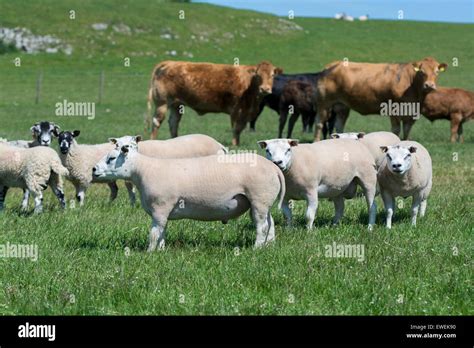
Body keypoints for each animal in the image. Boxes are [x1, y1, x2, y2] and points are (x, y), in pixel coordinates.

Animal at [92, 135, 286, 250]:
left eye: (111, 158)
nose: (93, 169)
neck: (143, 170)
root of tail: (274, 169)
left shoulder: (161, 207)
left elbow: (154, 233)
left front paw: (150, 253)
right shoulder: (163, 211)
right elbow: (162, 232)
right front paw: (161, 251)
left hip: (259, 198)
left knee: (262, 226)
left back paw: (256, 248)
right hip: (263, 201)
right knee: (270, 223)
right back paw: (269, 246)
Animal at [146, 60, 284, 145]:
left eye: (272, 75)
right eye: (258, 75)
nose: (265, 89)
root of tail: (169, 62)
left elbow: (240, 128)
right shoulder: (237, 110)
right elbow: (236, 128)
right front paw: (235, 145)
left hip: (176, 104)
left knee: (173, 123)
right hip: (162, 103)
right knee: (157, 122)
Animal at [314, 56, 448, 141]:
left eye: (437, 72)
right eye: (421, 71)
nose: (429, 85)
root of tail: (331, 65)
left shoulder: (412, 112)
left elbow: (407, 130)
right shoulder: (394, 110)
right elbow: (396, 130)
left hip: (342, 106)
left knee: (339, 125)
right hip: (323, 103)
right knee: (319, 123)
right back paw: (316, 141)